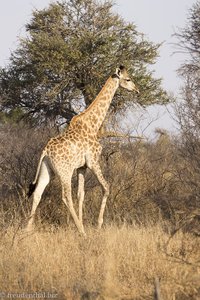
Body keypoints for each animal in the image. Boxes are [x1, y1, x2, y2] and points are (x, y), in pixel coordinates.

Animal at [26, 66, 139, 234]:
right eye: (128, 79)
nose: (137, 90)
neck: (92, 124)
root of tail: (45, 151)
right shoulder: (93, 161)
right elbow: (106, 187)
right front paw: (98, 224)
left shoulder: (82, 167)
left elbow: (81, 194)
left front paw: (82, 222)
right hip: (65, 171)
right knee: (66, 196)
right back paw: (82, 232)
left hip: (47, 169)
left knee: (38, 192)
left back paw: (26, 230)